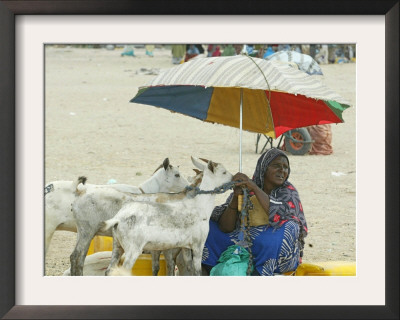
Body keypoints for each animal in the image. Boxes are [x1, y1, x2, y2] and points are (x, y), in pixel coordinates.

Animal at [101, 157, 231, 276]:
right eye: (224, 172)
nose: (233, 178)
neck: (200, 205)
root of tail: (119, 218)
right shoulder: (198, 245)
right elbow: (196, 271)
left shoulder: (185, 247)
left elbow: (189, 268)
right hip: (132, 250)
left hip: (117, 246)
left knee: (109, 271)